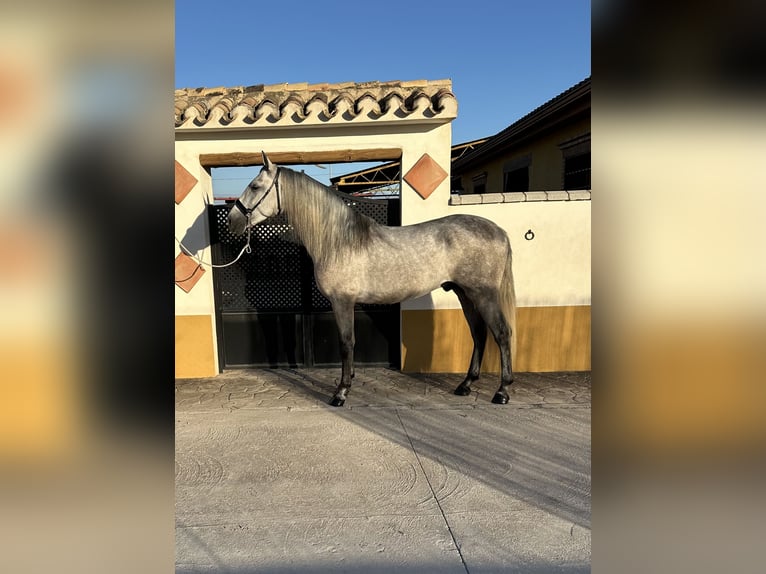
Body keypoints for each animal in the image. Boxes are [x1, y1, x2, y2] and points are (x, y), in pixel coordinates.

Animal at [228, 151, 516, 408]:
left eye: (255, 186)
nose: (232, 220)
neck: (338, 241)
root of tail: (499, 231)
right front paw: (349, 380)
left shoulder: (342, 301)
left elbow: (346, 342)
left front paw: (341, 392)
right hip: (465, 293)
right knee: (479, 334)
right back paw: (466, 385)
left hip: (483, 294)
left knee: (501, 333)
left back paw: (502, 391)